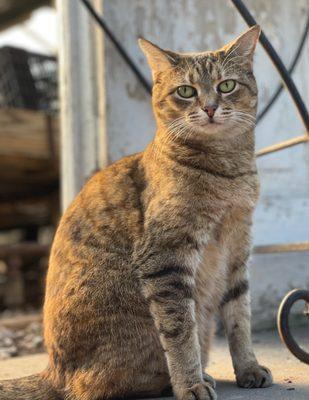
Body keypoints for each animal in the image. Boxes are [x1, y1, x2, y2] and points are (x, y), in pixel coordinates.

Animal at [0, 25, 270, 400]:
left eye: (226, 85)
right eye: (185, 91)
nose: (210, 108)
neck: (228, 172)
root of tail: (53, 373)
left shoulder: (237, 251)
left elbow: (239, 317)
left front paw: (248, 368)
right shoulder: (165, 259)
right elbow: (179, 332)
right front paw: (190, 384)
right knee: (101, 385)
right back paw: (182, 379)